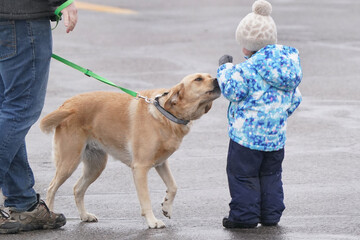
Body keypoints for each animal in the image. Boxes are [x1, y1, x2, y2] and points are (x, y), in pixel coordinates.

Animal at [39, 73, 219, 229]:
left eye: (209, 76)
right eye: (198, 79)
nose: (217, 79)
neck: (165, 114)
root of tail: (67, 104)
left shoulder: (161, 163)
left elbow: (173, 186)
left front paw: (167, 206)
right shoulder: (140, 168)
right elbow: (146, 199)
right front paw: (152, 222)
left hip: (95, 165)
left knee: (77, 189)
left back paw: (84, 215)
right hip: (69, 161)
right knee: (51, 188)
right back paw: (51, 216)